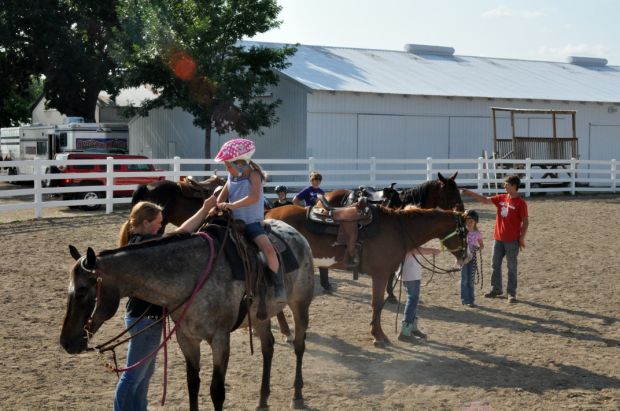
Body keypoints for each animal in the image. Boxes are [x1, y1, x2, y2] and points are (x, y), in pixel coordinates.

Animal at [60, 220, 314, 411]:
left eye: (82, 291)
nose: (66, 342)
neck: (193, 275)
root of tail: (297, 234)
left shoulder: (220, 339)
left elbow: (216, 391)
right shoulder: (187, 338)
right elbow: (193, 384)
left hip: (300, 304)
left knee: (299, 345)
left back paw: (297, 394)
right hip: (261, 316)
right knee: (267, 347)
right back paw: (262, 400)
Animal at [266, 204, 464, 346]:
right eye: (464, 233)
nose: (466, 257)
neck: (397, 229)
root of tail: (268, 216)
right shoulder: (380, 275)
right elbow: (377, 304)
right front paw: (378, 336)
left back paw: (285, 332)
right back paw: (287, 333)